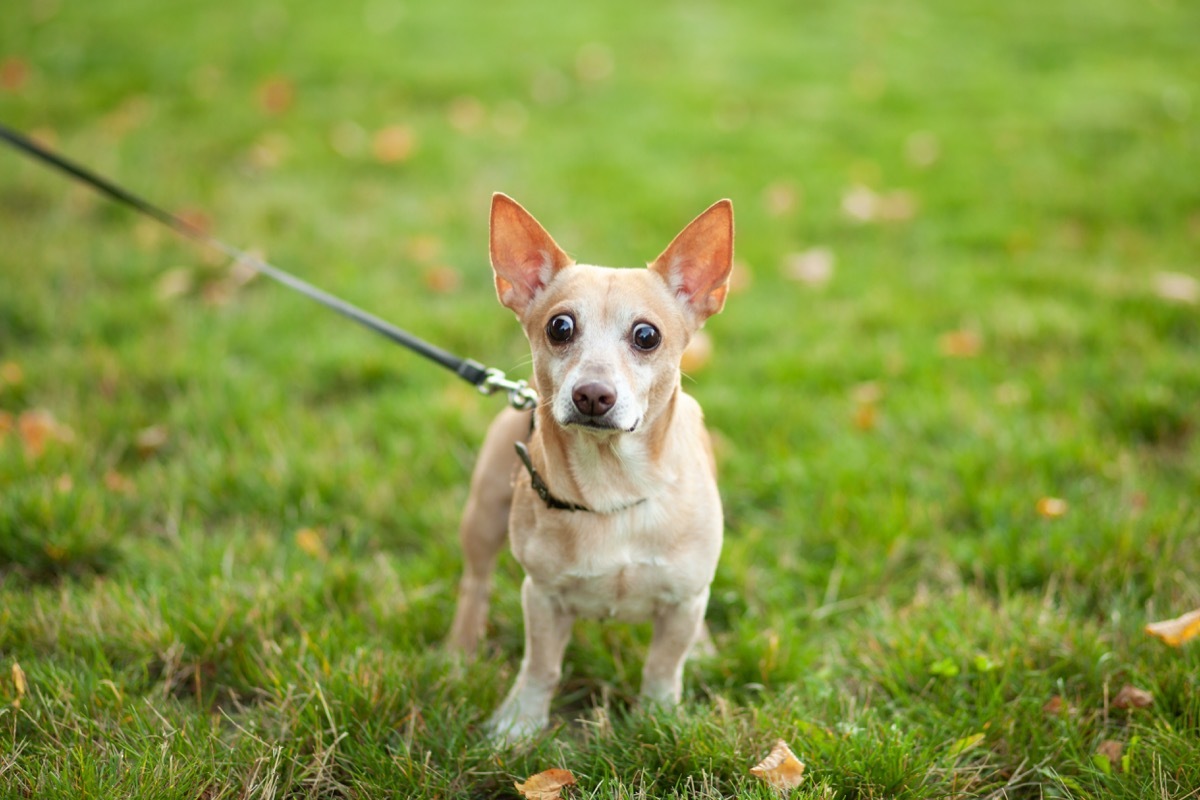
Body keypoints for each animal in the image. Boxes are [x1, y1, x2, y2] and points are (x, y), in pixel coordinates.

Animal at [448, 191, 729, 738]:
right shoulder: (542, 597)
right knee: (476, 583)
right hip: (483, 514)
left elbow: (663, 666)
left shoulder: (683, 602)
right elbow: (541, 666)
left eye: (647, 336)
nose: (593, 394)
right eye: (560, 327)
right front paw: (518, 725)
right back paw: (460, 649)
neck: (612, 489)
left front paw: (658, 719)